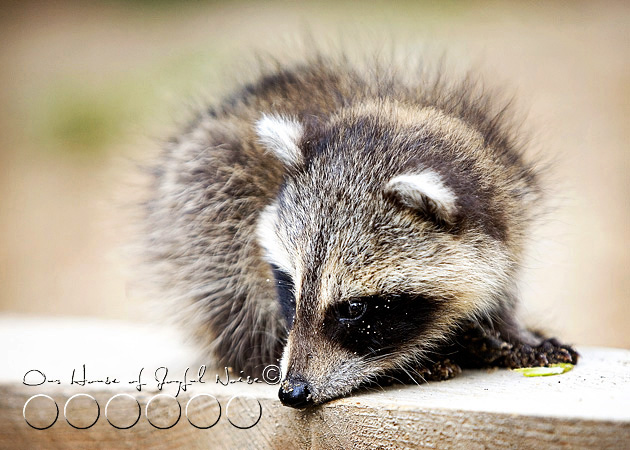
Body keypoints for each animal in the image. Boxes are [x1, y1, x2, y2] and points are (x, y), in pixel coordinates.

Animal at [143, 52, 576, 408]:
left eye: (354, 309)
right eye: (290, 288)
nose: (293, 391)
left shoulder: (511, 205)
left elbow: (502, 288)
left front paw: (510, 330)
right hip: (201, 194)